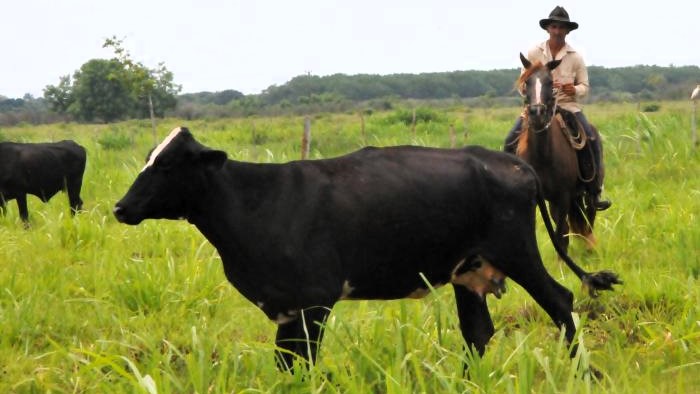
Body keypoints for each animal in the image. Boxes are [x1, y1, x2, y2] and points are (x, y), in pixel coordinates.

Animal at [516, 53, 596, 252]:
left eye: (550, 82)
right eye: (526, 81)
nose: (537, 112)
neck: (543, 156)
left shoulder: (564, 196)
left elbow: (560, 235)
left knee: (588, 217)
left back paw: (590, 247)